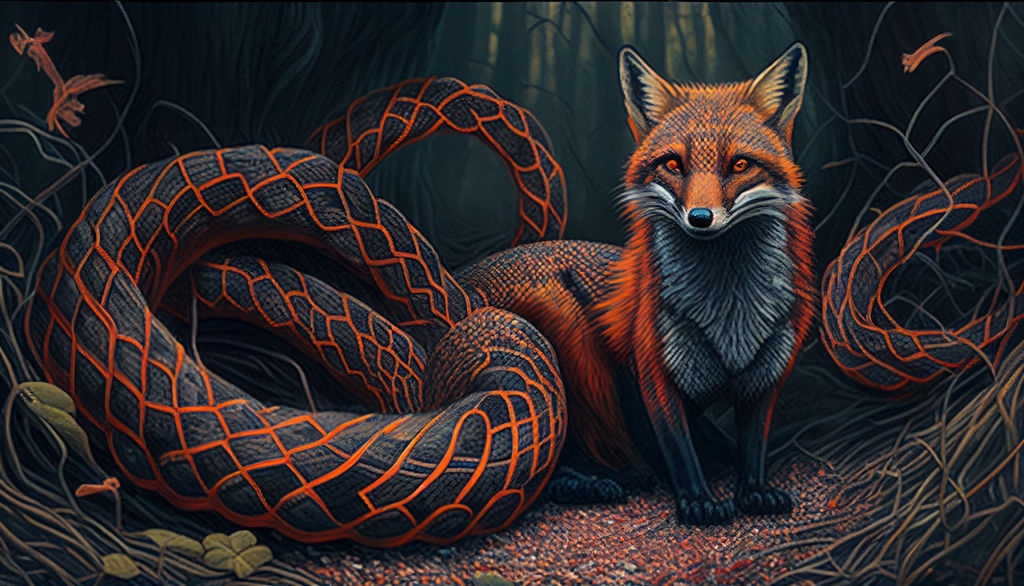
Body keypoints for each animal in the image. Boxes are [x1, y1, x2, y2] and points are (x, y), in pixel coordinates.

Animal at [460, 42, 814, 525]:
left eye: (740, 164)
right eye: (673, 164)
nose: (700, 218)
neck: (729, 315)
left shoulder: (767, 371)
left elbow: (753, 443)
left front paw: (754, 490)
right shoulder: (652, 373)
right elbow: (678, 449)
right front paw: (697, 501)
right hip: (569, 328)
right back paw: (589, 482)